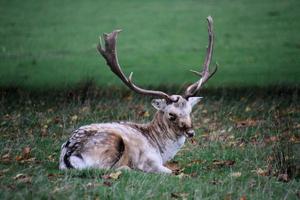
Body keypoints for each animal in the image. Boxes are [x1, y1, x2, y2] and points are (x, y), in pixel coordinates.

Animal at [59, 16, 218, 173]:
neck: (160, 149)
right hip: (110, 143)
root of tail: (68, 155)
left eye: (190, 111)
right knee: (106, 169)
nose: (191, 132)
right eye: (171, 114)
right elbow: (169, 171)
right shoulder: (150, 160)